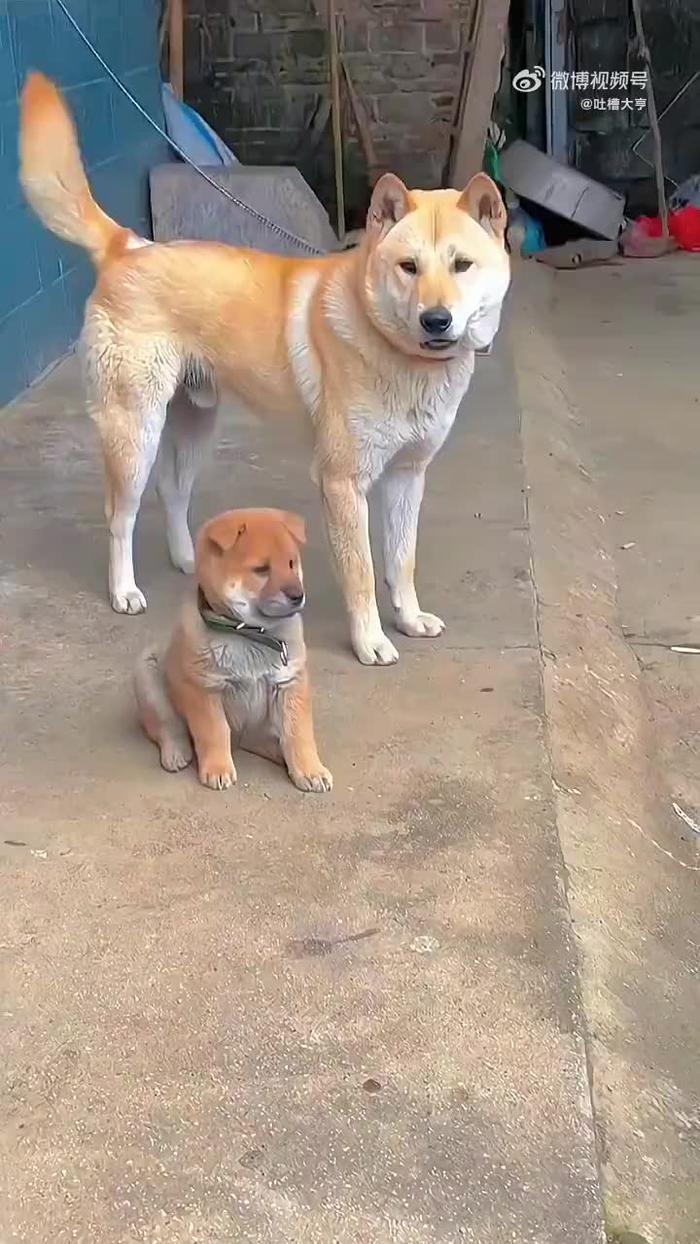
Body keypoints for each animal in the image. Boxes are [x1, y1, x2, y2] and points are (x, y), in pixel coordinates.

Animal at [19, 72, 512, 666]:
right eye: (408, 267)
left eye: (462, 265)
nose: (436, 320)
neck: (397, 351)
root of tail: (128, 248)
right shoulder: (343, 484)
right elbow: (362, 574)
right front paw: (370, 640)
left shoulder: (407, 477)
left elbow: (401, 560)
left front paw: (409, 618)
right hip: (134, 431)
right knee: (120, 514)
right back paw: (123, 590)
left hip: (195, 422)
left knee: (173, 489)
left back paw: (189, 560)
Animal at [136, 507, 333, 791]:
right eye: (261, 569)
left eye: (291, 564)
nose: (297, 595)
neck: (251, 633)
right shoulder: (204, 689)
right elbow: (214, 732)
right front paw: (218, 768)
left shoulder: (290, 683)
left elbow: (298, 734)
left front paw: (310, 770)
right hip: (147, 675)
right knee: (166, 727)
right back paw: (176, 752)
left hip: (260, 728)